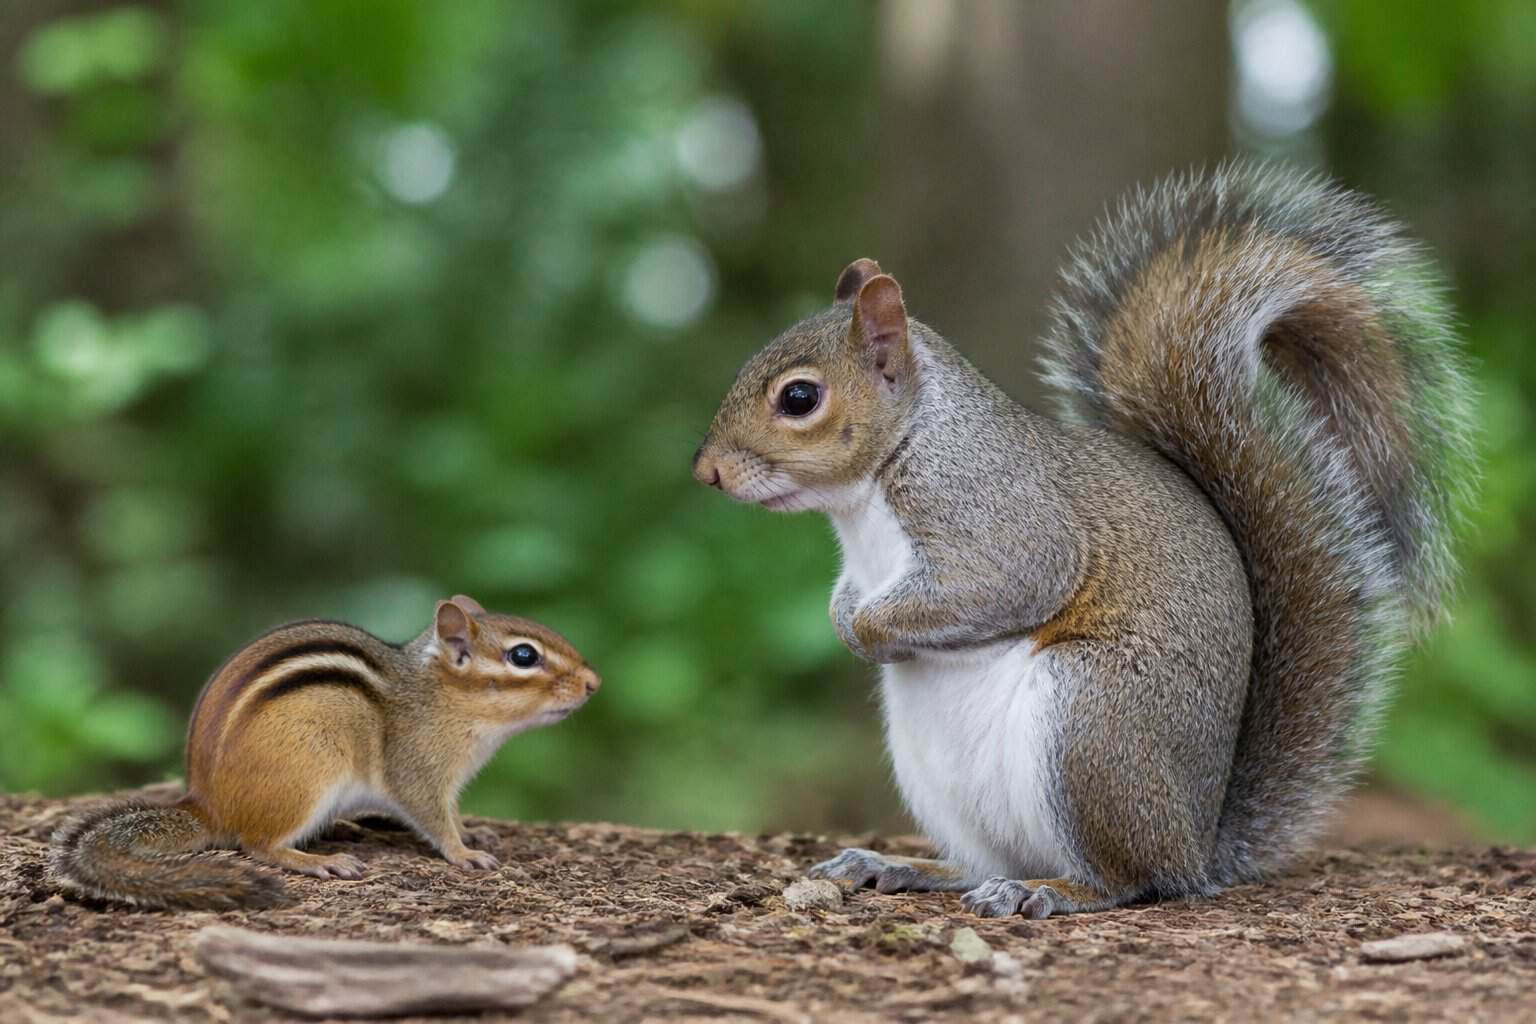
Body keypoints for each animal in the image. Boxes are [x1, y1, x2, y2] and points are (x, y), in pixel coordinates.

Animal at [49, 595, 600, 911]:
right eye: (523, 655)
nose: (594, 683)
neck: (439, 695)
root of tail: (206, 805)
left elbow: (453, 814)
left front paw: (473, 831)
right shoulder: (418, 770)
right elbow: (433, 818)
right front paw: (464, 851)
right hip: (309, 774)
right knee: (256, 843)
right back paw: (319, 861)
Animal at [692, 164, 1475, 918]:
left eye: (799, 398)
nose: (706, 472)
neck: (870, 491)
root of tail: (1197, 843)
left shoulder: (998, 515)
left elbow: (1004, 582)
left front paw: (869, 628)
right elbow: (848, 591)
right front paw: (844, 620)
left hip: (1092, 725)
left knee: (1132, 880)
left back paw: (1050, 891)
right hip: (945, 774)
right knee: (984, 860)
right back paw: (906, 866)